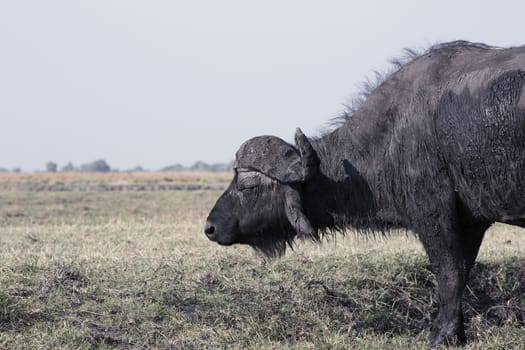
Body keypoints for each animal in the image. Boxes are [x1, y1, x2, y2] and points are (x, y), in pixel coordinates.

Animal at [203, 41, 524, 348]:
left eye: (248, 186)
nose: (210, 227)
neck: (393, 133)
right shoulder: (471, 222)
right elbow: (463, 271)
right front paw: (456, 333)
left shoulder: (434, 214)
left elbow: (449, 274)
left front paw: (441, 336)